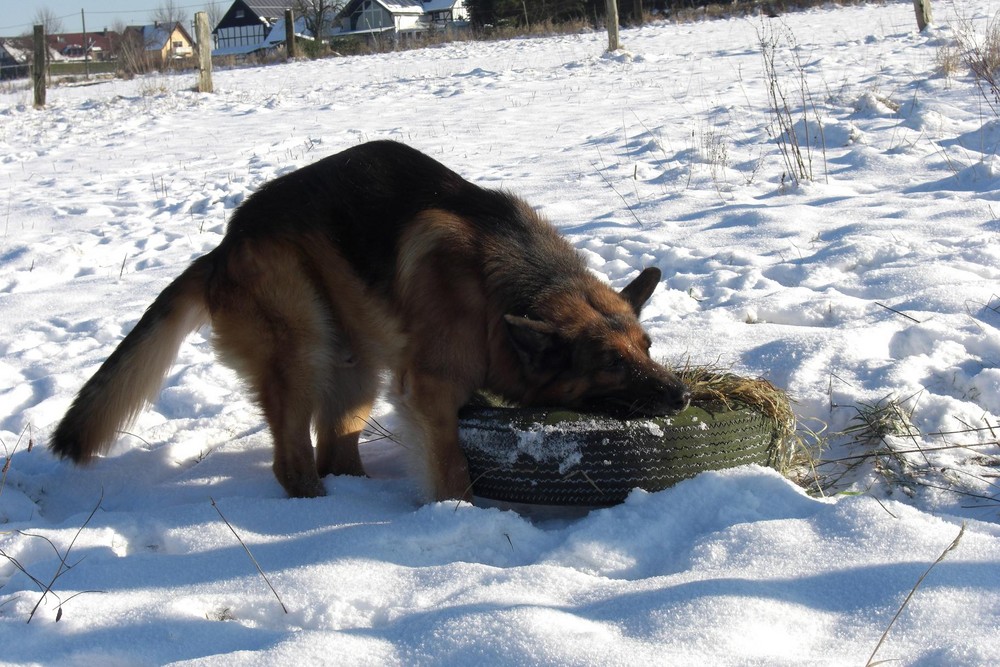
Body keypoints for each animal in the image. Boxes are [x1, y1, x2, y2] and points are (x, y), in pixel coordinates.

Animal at [48, 144, 688, 504]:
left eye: (649, 346)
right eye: (610, 363)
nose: (682, 396)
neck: (515, 282)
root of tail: (223, 249)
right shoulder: (431, 393)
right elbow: (452, 471)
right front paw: (457, 521)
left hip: (356, 366)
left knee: (334, 447)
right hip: (302, 346)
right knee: (294, 461)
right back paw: (318, 511)